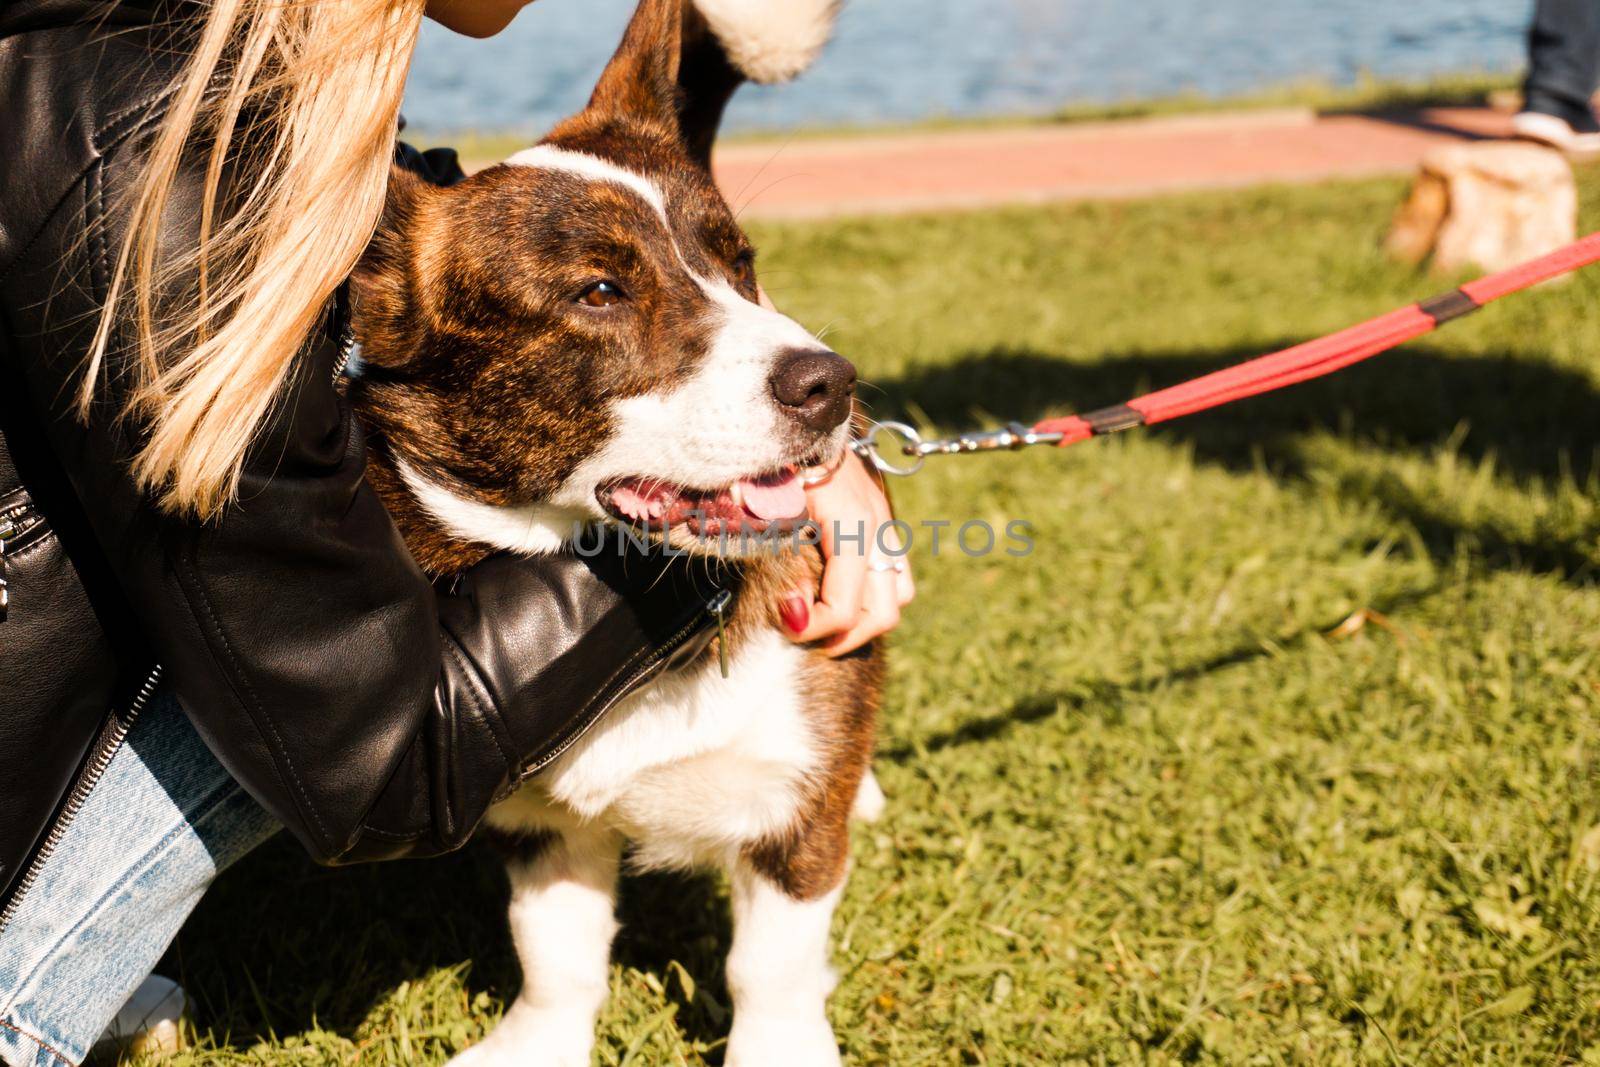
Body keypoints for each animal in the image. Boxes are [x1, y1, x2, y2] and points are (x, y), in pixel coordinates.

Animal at [350, 2, 889, 1067]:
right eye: (599, 292)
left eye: (741, 266)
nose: (831, 384)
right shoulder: (539, 826)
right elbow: (554, 953)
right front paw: (535, 1043)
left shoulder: (793, 817)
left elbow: (772, 970)